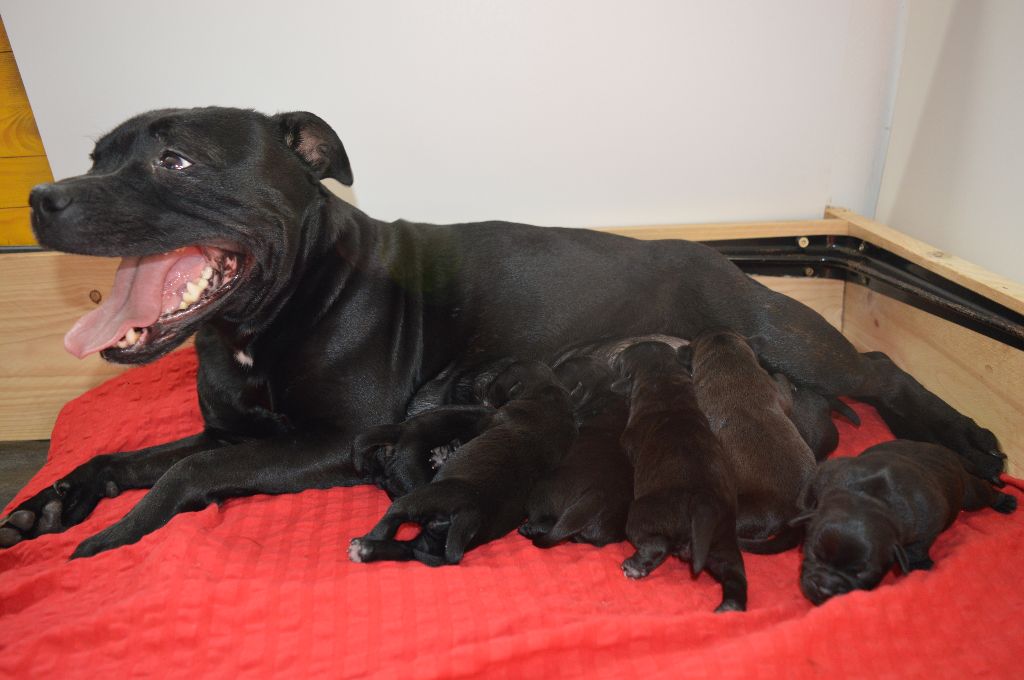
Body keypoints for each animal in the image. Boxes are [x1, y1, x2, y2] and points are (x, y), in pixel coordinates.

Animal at [606, 342, 745, 614]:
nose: (616, 356)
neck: (664, 381)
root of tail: (703, 503)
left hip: (645, 513)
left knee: (657, 544)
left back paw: (634, 567)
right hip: (722, 541)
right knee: (734, 573)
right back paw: (730, 607)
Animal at [794, 440, 1011, 606]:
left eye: (860, 573)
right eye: (815, 553)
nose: (824, 588)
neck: (869, 498)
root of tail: (948, 452)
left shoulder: (929, 519)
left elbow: (918, 547)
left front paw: (919, 563)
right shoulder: (824, 475)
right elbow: (807, 496)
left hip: (969, 494)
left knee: (984, 491)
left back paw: (1005, 501)